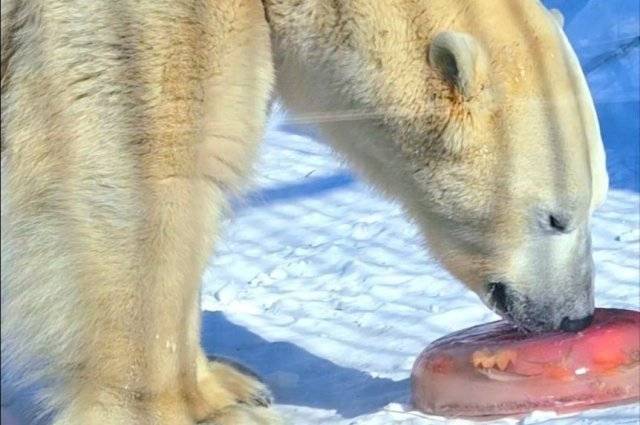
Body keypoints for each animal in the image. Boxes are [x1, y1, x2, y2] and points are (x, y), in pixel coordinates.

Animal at [0, 0, 608, 422]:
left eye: (597, 203)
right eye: (555, 217)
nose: (575, 317)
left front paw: (234, 384)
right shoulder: (127, 24)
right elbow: (145, 172)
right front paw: (186, 410)